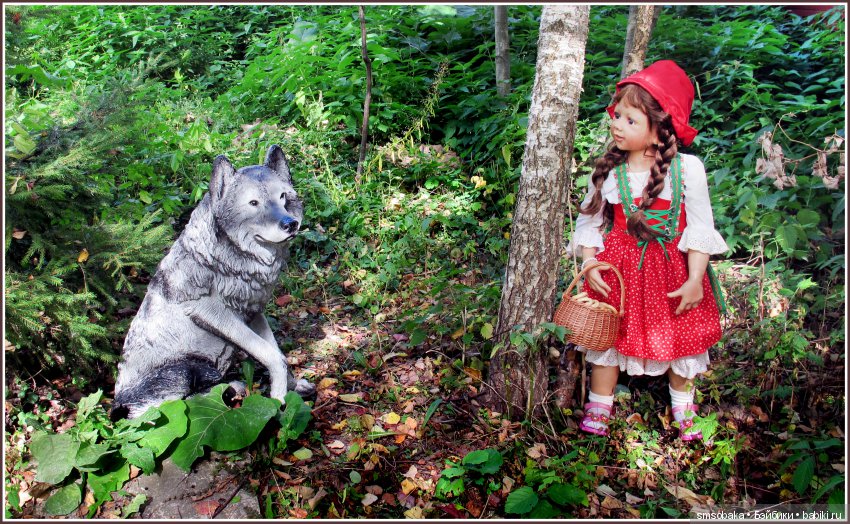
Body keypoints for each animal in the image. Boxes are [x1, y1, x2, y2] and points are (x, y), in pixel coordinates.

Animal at [112, 145, 315, 419]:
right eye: (253, 203)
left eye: (283, 197)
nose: (291, 224)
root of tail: (117, 403)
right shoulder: (213, 314)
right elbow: (273, 356)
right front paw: (280, 401)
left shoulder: (253, 312)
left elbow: (278, 353)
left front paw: (293, 388)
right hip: (181, 371)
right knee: (169, 409)